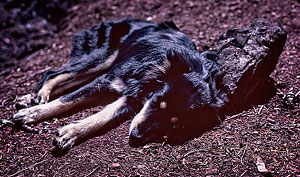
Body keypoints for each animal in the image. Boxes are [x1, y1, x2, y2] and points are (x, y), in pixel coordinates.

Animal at [12, 18, 227, 149]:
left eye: (176, 125)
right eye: (158, 102)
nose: (136, 136)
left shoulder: (131, 99)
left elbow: (103, 116)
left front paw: (72, 132)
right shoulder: (108, 81)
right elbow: (67, 100)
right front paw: (32, 114)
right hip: (102, 57)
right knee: (52, 74)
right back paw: (37, 98)